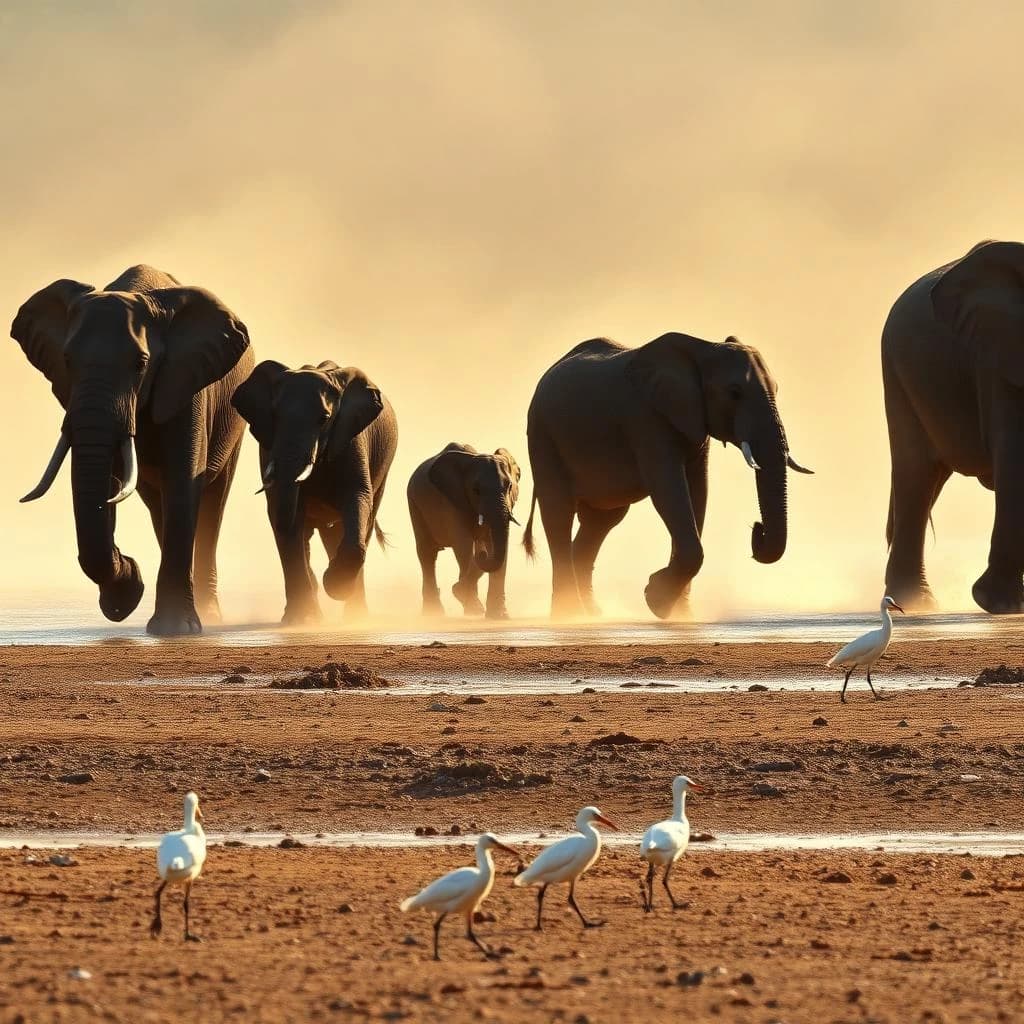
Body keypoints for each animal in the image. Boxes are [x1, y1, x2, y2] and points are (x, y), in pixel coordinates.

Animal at [11, 264, 253, 635]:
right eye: (66, 360)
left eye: (141, 363)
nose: (130, 565)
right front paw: (126, 596)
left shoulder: (187, 383)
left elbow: (183, 481)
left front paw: (174, 629)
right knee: (158, 507)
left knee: (212, 504)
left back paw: (209, 616)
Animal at [231, 359, 397, 623]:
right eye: (275, 416)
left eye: (324, 418)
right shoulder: (268, 449)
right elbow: (286, 516)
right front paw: (300, 621)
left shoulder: (351, 438)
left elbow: (357, 496)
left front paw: (334, 587)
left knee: (360, 525)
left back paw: (355, 616)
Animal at [407, 443, 521, 619]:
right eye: (476, 490)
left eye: (509, 487)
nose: (483, 555)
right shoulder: (451, 501)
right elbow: (463, 543)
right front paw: (467, 601)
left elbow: (495, 546)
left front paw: (500, 616)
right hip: (414, 502)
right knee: (427, 553)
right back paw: (434, 613)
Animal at [523, 333, 812, 619]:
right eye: (734, 393)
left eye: (777, 389)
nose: (757, 529)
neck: (702, 349)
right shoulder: (646, 420)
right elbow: (669, 489)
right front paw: (656, 600)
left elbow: (698, 492)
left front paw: (679, 614)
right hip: (542, 434)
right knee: (559, 513)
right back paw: (569, 615)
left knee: (602, 520)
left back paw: (591, 614)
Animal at [883, 239, 1024, 614]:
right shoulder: (998, 358)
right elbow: (1015, 457)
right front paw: (998, 603)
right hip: (897, 375)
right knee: (916, 475)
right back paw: (917, 603)